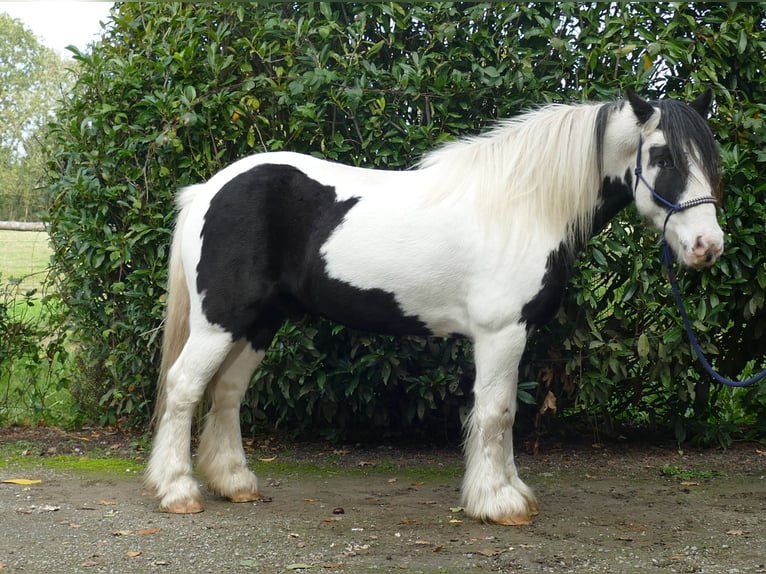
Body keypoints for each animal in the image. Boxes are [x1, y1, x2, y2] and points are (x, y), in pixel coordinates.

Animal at [146, 92, 728, 528]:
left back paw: (234, 483)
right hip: (219, 323)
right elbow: (496, 413)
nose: (708, 246)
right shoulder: (501, 333)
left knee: (226, 392)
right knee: (184, 387)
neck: (523, 207)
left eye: (709, 159)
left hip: (258, 324)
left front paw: (512, 490)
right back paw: (178, 491)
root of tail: (207, 190)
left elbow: (506, 414)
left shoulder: (514, 336)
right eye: (664, 157)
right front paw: (498, 503)